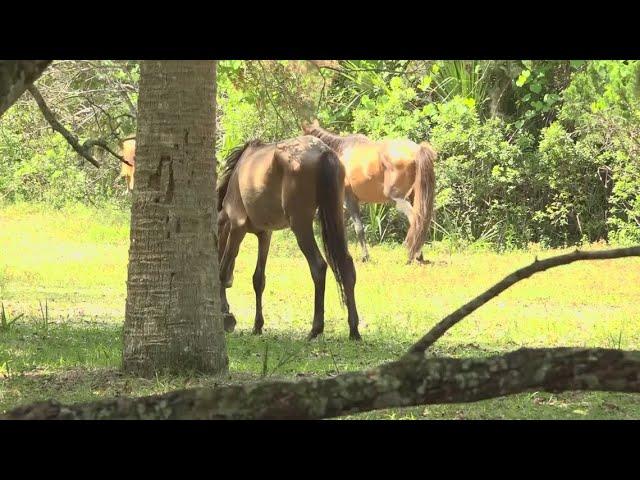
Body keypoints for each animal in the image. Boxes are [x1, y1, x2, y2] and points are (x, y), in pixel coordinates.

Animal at [218, 135, 362, 342]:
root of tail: (323, 151)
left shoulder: (237, 227)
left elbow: (222, 271)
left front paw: (225, 315)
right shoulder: (265, 235)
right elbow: (258, 279)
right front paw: (257, 325)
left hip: (300, 225)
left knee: (318, 266)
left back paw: (315, 329)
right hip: (336, 216)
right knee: (347, 266)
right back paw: (354, 329)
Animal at [304, 119, 436, 262]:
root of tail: (416, 150)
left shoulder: (349, 200)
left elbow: (358, 228)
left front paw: (365, 256)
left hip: (398, 198)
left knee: (415, 220)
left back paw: (413, 255)